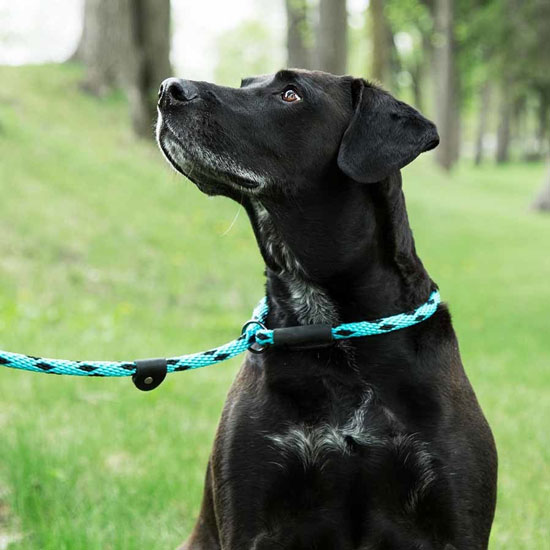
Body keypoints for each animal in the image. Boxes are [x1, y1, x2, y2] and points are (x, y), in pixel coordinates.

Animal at [156, 70, 500, 550]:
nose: (168, 89)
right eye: (245, 83)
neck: (333, 334)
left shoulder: (456, 516)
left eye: (290, 94)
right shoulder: (249, 514)